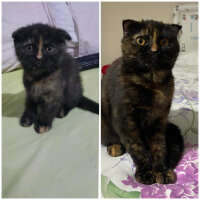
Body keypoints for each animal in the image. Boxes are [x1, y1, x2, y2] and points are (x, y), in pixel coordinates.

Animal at [102, 19, 184, 185]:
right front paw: (145, 171)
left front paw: (161, 170)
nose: (154, 50)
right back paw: (114, 146)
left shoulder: (158, 120)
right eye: (141, 41)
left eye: (164, 41)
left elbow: (159, 146)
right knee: (109, 137)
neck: (152, 82)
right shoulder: (125, 120)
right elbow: (137, 147)